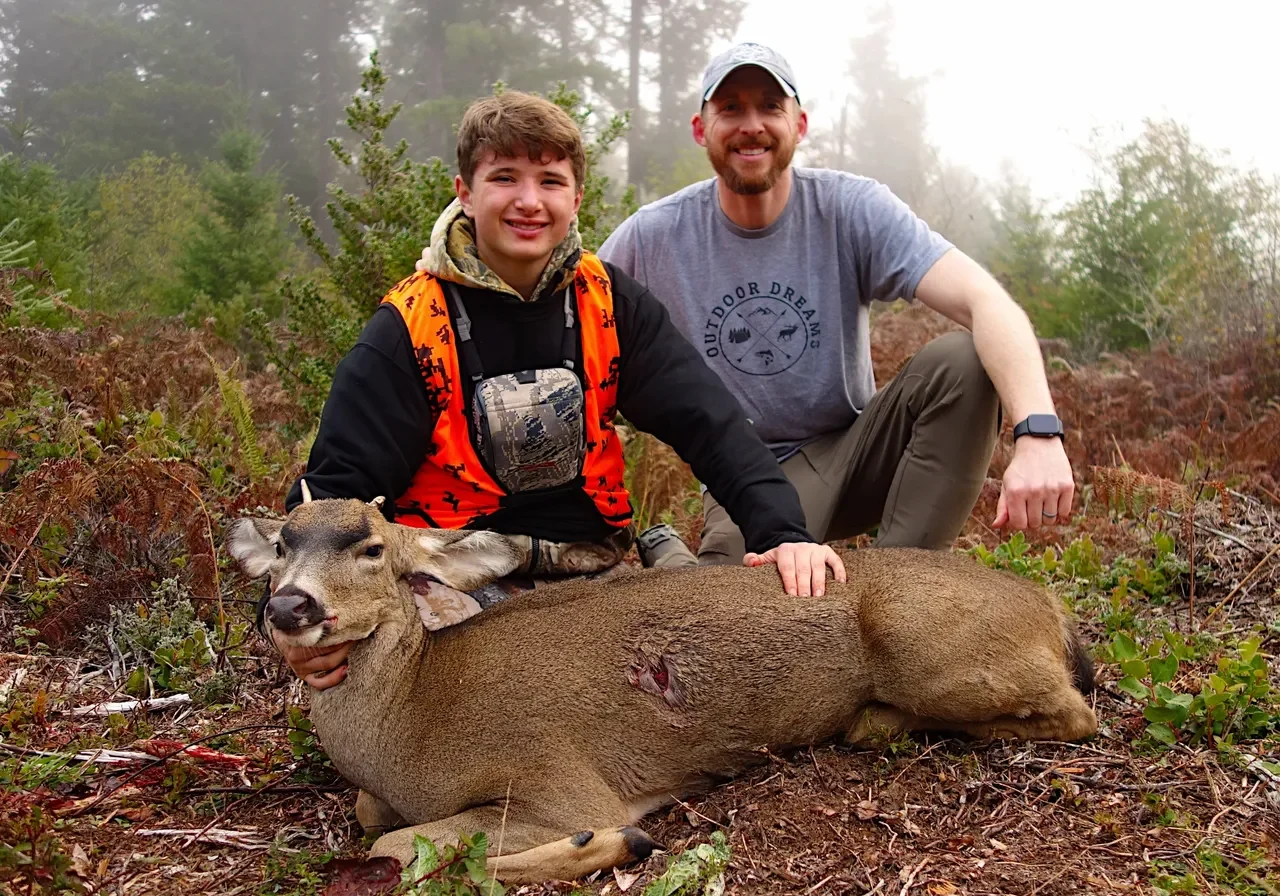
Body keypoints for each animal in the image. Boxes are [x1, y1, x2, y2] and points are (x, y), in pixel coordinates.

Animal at [227, 491, 1097, 883]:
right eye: (283, 543)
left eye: (372, 547)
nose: (290, 606)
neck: (412, 724)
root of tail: (1050, 606)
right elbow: (373, 819)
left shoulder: (555, 778)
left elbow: (398, 846)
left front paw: (613, 843)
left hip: (929, 647)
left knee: (1077, 713)